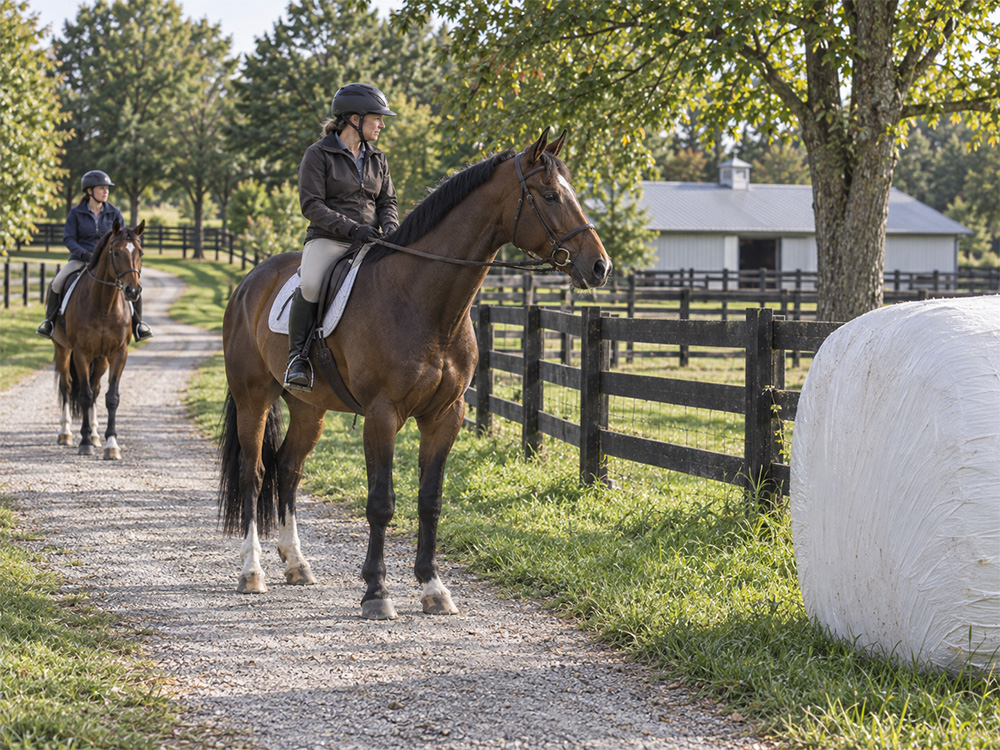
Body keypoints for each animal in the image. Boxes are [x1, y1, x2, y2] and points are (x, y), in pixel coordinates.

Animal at [52, 219, 145, 460]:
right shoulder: (81, 353)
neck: (104, 305)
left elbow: (111, 397)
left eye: (140, 251)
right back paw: (66, 433)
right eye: (116, 252)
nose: (133, 291)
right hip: (63, 350)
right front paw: (84, 443)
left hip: (101, 359)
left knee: (95, 387)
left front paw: (111, 444)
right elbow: (83, 395)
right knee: (67, 386)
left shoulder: (119, 354)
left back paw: (94, 435)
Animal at [217, 129, 612, 619]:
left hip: (309, 408)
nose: (599, 266)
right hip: (253, 400)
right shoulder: (382, 415)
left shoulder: (445, 416)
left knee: (288, 469)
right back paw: (252, 572)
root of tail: (249, 282)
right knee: (253, 475)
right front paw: (376, 592)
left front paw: (432, 587)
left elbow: (430, 500)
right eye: (551, 195)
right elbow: (381, 503)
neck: (421, 300)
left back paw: (297, 564)